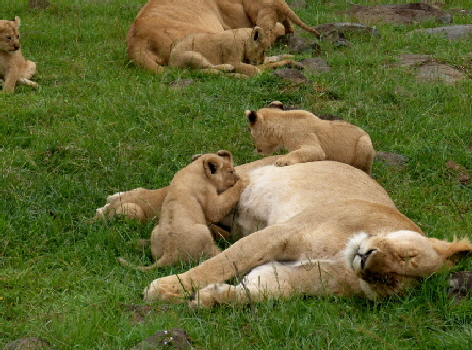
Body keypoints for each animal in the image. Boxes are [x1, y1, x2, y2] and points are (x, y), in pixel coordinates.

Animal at [94, 159, 470, 306]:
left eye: (388, 281)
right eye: (407, 256)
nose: (367, 259)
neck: (342, 257)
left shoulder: (301, 279)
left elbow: (260, 289)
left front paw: (211, 298)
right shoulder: (283, 232)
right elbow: (220, 264)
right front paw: (165, 288)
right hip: (249, 173)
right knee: (174, 188)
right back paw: (118, 207)